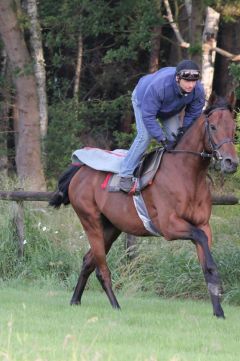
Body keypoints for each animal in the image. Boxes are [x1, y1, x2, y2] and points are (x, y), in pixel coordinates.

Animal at [50, 91, 238, 316]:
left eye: (234, 127)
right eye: (213, 127)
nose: (231, 162)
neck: (187, 175)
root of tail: (80, 169)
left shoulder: (203, 224)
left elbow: (208, 264)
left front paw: (219, 312)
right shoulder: (169, 226)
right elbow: (200, 241)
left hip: (111, 227)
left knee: (88, 261)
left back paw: (75, 300)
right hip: (90, 221)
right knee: (101, 269)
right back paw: (116, 306)